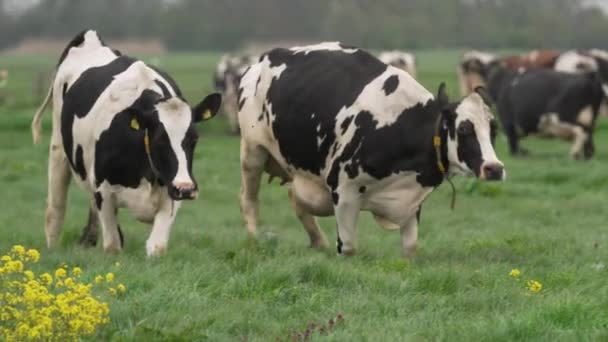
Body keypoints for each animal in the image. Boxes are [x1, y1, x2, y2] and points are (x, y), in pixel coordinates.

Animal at [30, 30, 221, 255]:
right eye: (159, 139)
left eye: (194, 138)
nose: (186, 188)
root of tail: (92, 40)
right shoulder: (104, 192)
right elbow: (112, 245)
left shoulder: (170, 193)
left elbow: (157, 247)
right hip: (58, 148)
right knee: (55, 208)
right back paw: (52, 248)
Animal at [236, 42, 504, 256]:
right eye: (464, 129)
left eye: (493, 129)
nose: (494, 168)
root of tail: (262, 59)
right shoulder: (343, 188)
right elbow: (348, 248)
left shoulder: (412, 197)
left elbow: (410, 247)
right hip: (253, 152)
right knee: (249, 199)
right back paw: (255, 241)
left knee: (295, 198)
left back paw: (318, 242)